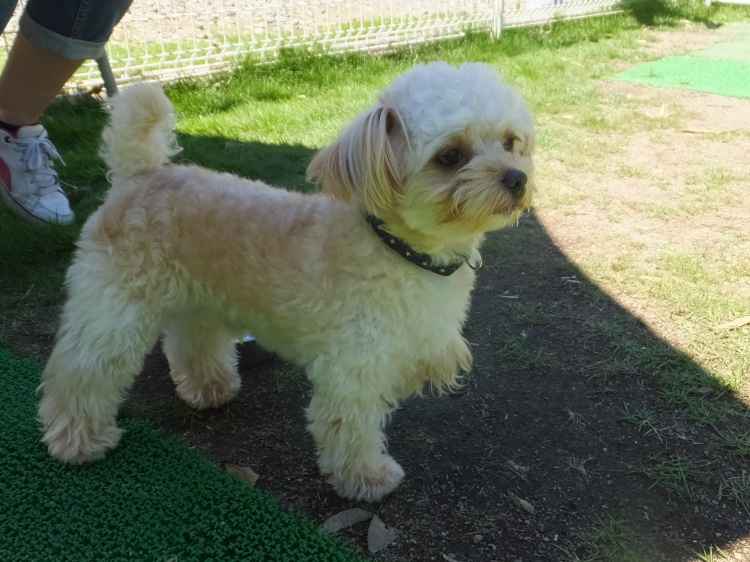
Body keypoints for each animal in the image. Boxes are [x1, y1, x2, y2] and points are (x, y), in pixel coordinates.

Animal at [38, 61, 535, 502]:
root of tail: (143, 173)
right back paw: (77, 439)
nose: (518, 177)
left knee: (191, 342)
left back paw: (210, 388)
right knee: (82, 370)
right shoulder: (351, 371)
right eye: (450, 156)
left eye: (511, 142)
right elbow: (351, 430)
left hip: (199, 298)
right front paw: (367, 479)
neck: (397, 249)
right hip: (113, 312)